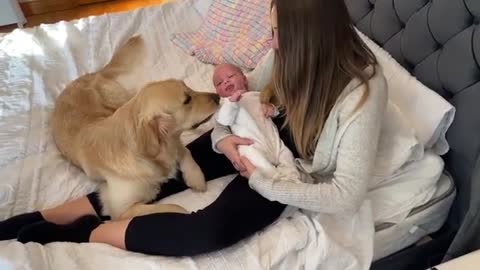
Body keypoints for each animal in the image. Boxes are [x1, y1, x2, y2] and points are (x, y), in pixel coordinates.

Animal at [50, 35, 219, 220]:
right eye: (187, 100)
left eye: (189, 88)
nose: (218, 96)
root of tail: (93, 74)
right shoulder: (121, 210)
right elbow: (172, 207)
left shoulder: (174, 141)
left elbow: (185, 151)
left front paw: (196, 177)